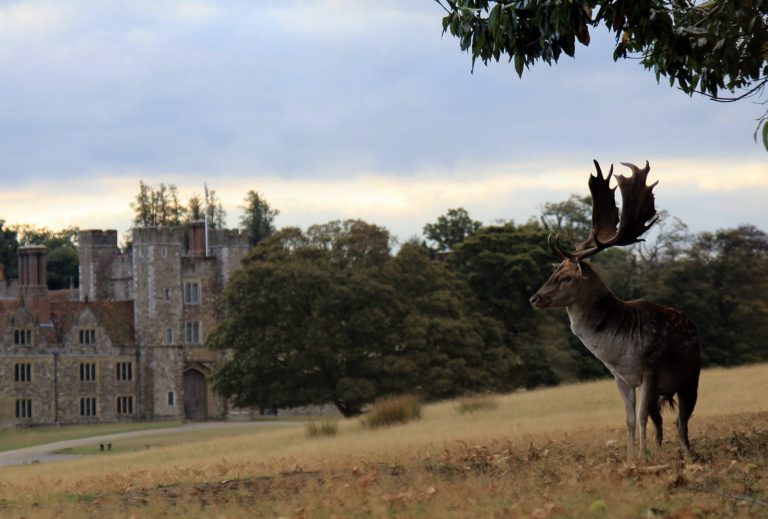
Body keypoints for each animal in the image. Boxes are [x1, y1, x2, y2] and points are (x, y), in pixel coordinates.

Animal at [529, 160, 700, 461]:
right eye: (554, 271)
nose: (534, 298)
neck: (618, 351)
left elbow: (641, 417)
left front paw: (641, 457)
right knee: (661, 421)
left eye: (566, 277)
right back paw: (659, 452)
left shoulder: (649, 369)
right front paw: (632, 459)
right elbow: (630, 419)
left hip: (691, 377)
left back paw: (687, 457)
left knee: (682, 421)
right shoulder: (620, 378)